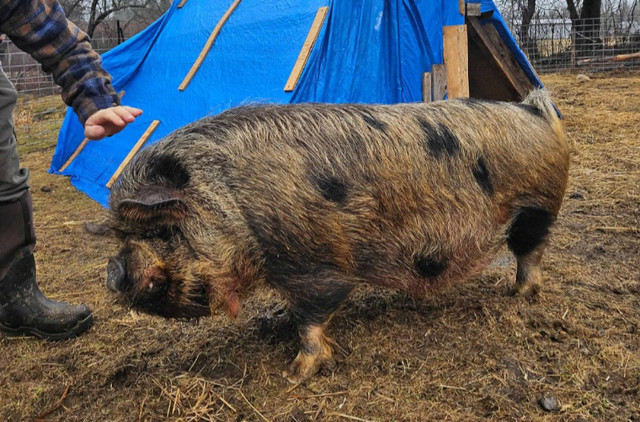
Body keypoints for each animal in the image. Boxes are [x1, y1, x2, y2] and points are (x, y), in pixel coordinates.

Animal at [106, 90, 568, 384]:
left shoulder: (313, 264)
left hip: (536, 208)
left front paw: (295, 375)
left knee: (531, 253)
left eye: (162, 230)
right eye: (122, 234)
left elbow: (311, 316)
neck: (235, 203)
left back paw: (519, 295)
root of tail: (533, 110)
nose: (112, 270)